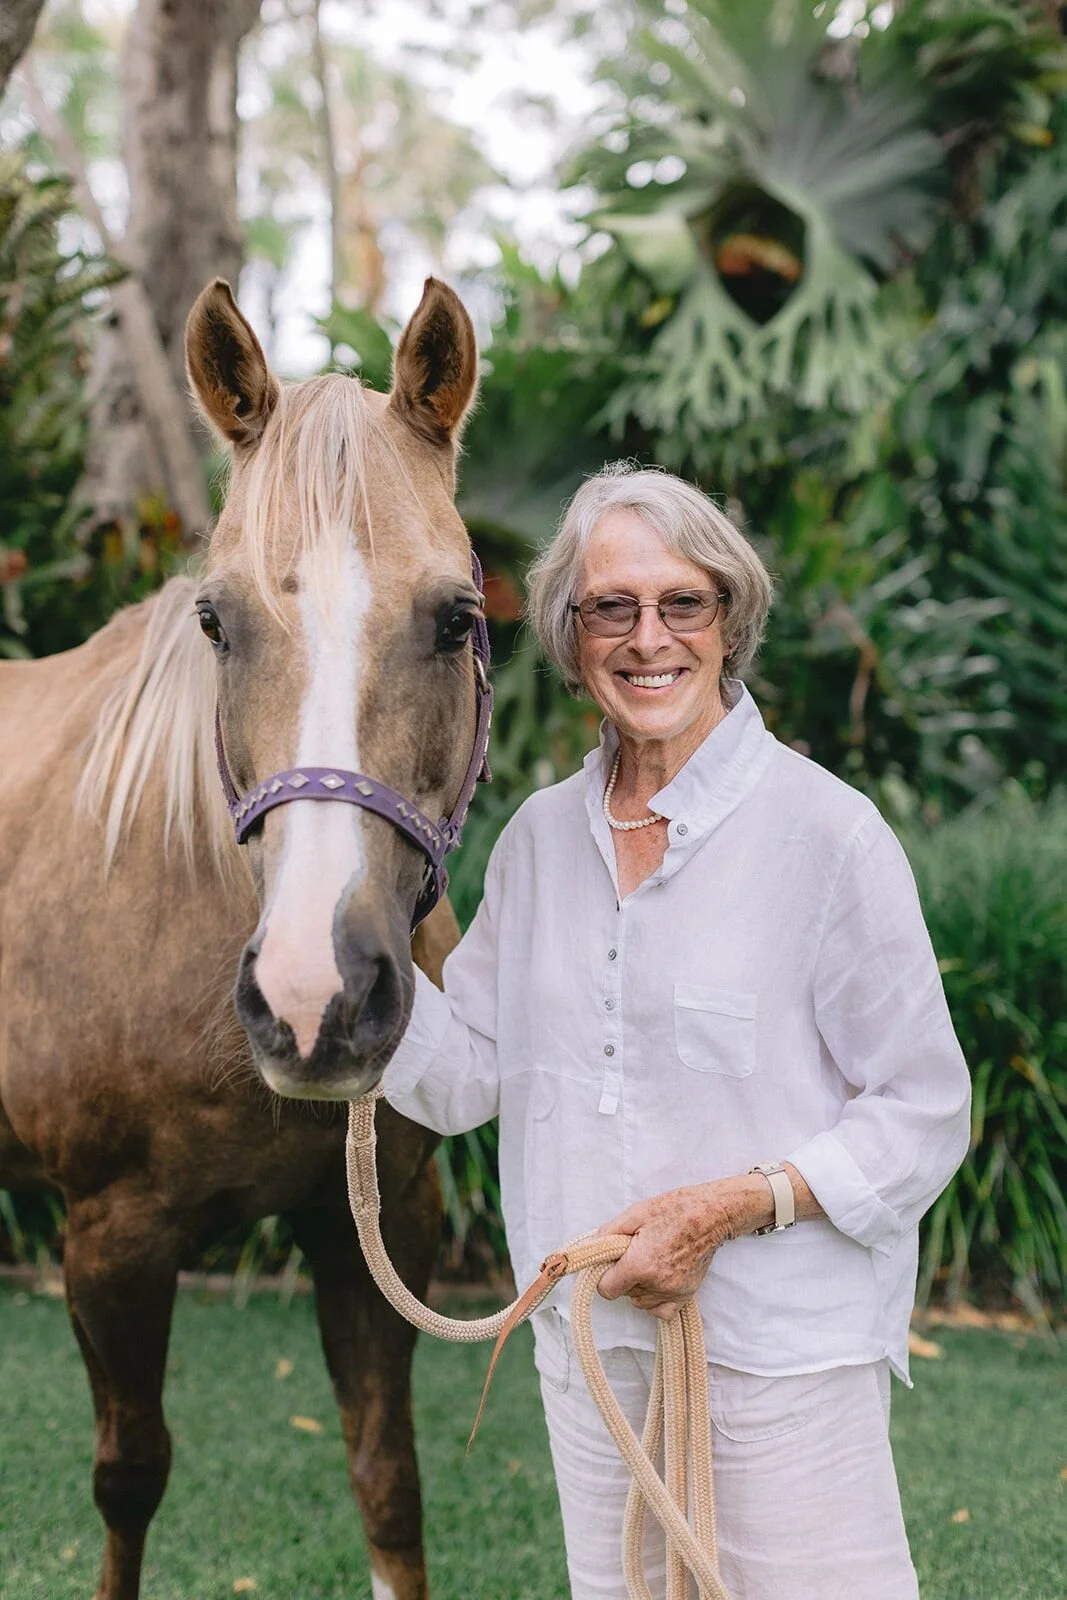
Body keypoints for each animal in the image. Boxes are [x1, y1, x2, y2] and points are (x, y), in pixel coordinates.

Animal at [0, 274, 485, 1600]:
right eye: (215, 619)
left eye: (455, 618)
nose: (316, 1000)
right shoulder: (111, 1241)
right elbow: (129, 1479)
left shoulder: (381, 1226)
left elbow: (389, 1485)